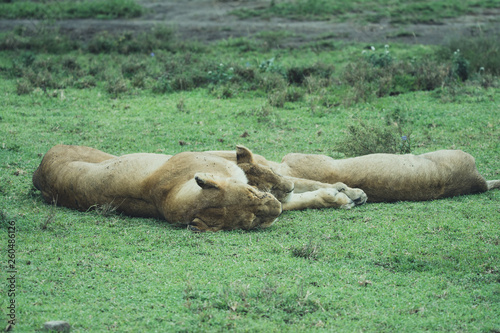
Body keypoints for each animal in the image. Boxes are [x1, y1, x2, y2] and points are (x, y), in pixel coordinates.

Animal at [32, 144, 368, 232]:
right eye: (251, 222)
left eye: (250, 195)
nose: (272, 209)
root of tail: (38, 173)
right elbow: (293, 195)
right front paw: (340, 195)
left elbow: (290, 183)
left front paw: (346, 192)